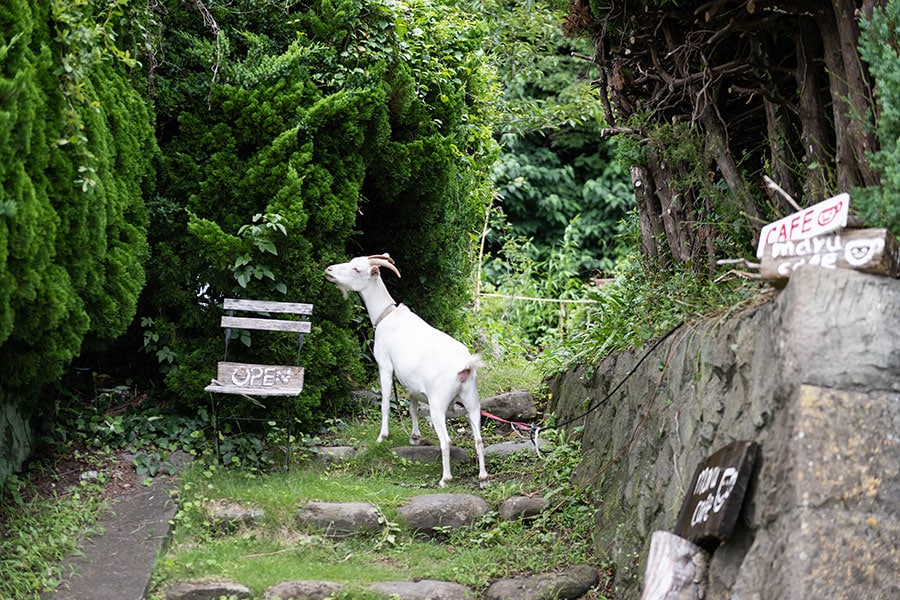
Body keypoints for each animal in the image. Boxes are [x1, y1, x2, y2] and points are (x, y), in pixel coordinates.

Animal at [326, 253, 488, 488]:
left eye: (356, 269)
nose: (329, 270)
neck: (386, 315)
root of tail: (465, 366)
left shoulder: (385, 364)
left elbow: (385, 401)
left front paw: (382, 437)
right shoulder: (412, 384)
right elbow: (412, 406)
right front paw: (414, 437)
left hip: (438, 404)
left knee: (446, 440)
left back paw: (445, 479)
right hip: (472, 400)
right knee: (478, 438)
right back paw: (483, 479)